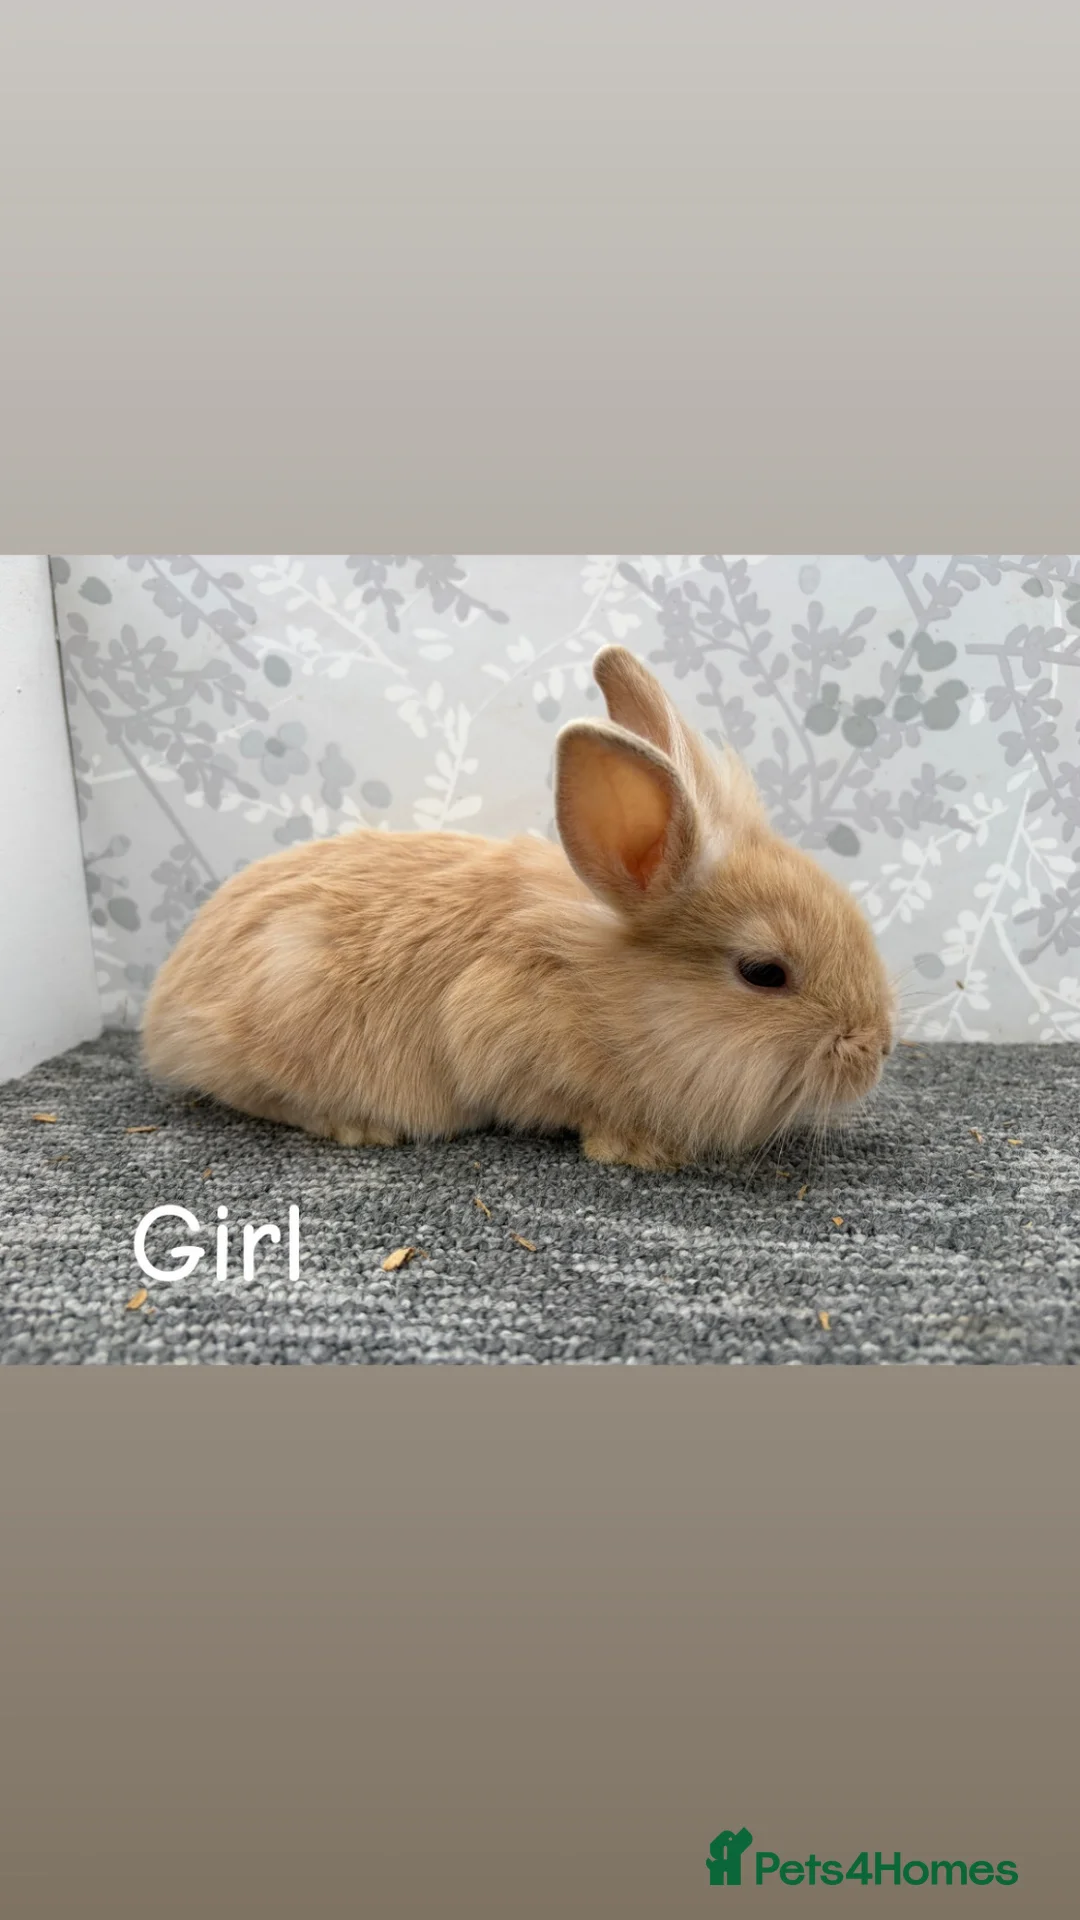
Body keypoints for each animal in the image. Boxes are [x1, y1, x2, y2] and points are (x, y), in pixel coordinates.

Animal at [141, 645, 895, 1170]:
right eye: (764, 973)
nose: (877, 1047)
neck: (604, 991)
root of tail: (165, 1005)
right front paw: (641, 1149)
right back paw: (358, 1125)